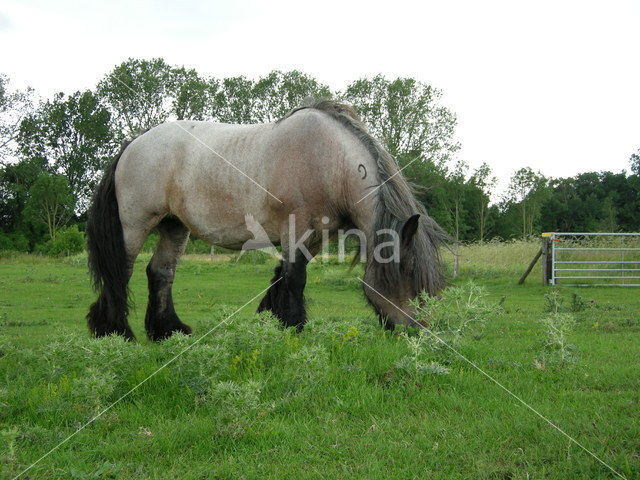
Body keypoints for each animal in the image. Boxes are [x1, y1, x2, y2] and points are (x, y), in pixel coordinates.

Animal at [85, 99, 444, 340]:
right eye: (408, 273)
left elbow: (282, 275)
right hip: (135, 224)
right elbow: (295, 277)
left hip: (174, 226)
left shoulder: (314, 235)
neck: (329, 161)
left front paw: (270, 320)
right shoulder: (296, 226)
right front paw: (293, 327)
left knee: (161, 272)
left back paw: (167, 330)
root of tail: (135, 141)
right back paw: (116, 331)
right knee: (121, 271)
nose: (418, 332)